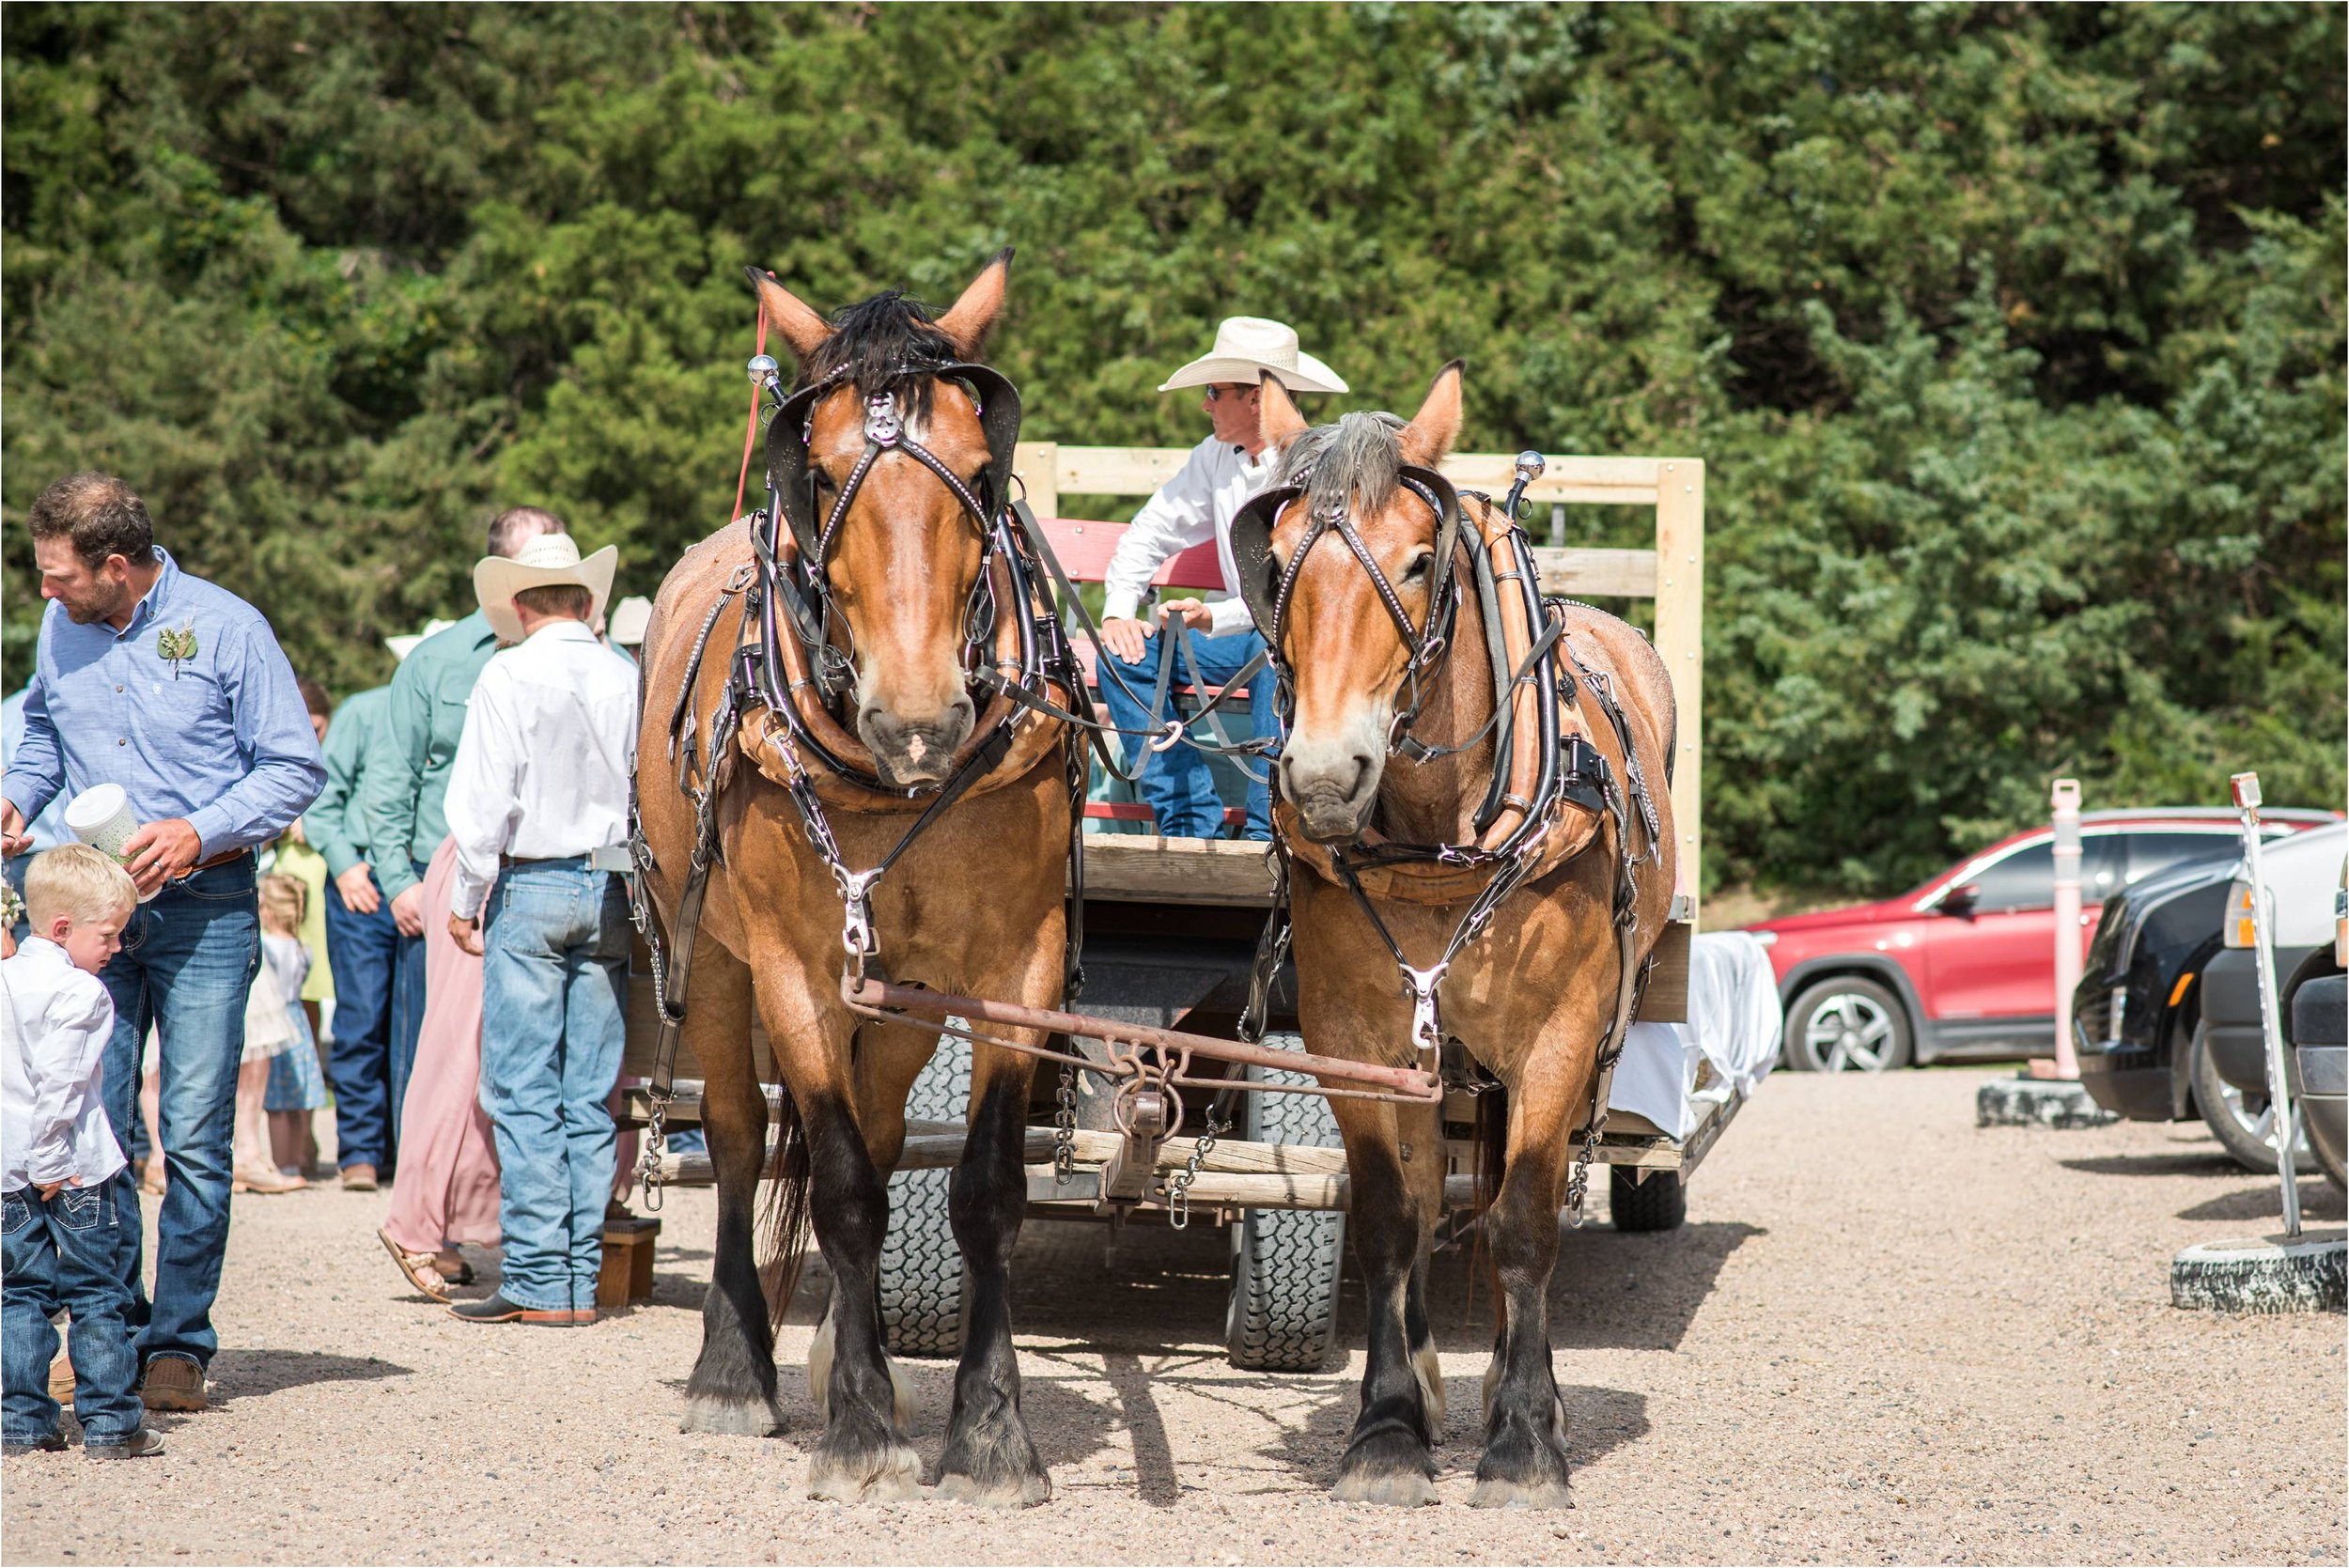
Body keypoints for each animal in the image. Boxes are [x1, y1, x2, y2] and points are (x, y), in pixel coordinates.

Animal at [644, 255, 1081, 1502]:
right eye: (825, 471)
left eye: (980, 471)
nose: (919, 717)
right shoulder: (792, 963)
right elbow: (835, 1183)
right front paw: (860, 1428)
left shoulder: (1017, 961)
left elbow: (984, 1190)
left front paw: (989, 1431)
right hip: (712, 956)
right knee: (742, 1139)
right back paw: (738, 1369)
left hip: (899, 995)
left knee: (885, 1135)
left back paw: (855, 1343)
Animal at [1240, 368, 1682, 1502]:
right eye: (1277, 560)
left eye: (1415, 559)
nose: (1324, 775)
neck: (1441, 838)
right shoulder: (1353, 1036)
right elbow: (1391, 1223)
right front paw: (1387, 1428)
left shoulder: (1559, 1036)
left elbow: (1524, 1224)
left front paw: (1524, 1437)